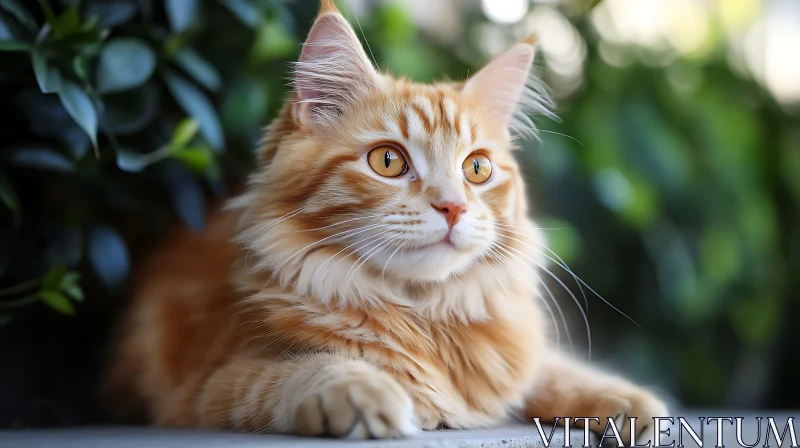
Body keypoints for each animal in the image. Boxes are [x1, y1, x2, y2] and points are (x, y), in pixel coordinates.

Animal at [104, 0, 668, 440]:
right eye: (389, 161)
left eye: (477, 169)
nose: (453, 206)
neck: (423, 314)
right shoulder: (213, 381)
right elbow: (304, 369)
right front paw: (363, 391)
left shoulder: (514, 356)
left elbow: (552, 371)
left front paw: (627, 402)